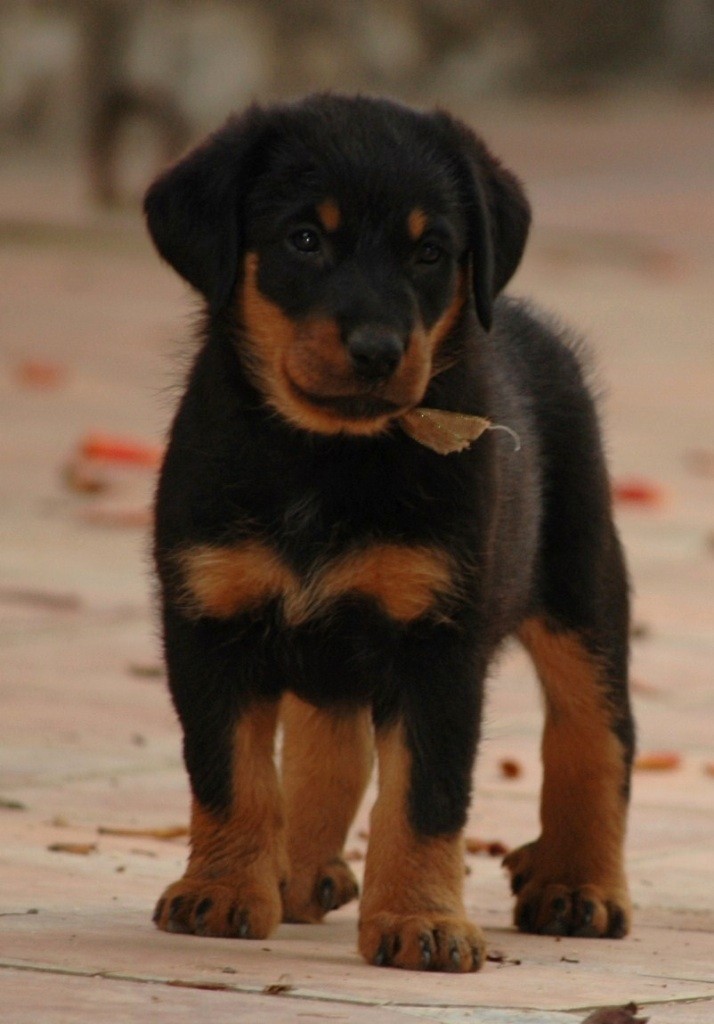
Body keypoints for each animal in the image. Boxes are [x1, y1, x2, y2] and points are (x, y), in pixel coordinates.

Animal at [144, 92, 635, 970]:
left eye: (431, 251)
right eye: (304, 238)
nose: (378, 349)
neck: (324, 459)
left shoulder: (436, 642)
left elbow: (425, 798)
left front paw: (421, 920)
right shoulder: (210, 618)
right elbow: (232, 774)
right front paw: (224, 889)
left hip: (582, 587)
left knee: (595, 735)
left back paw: (580, 885)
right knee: (329, 743)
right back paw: (297, 870)